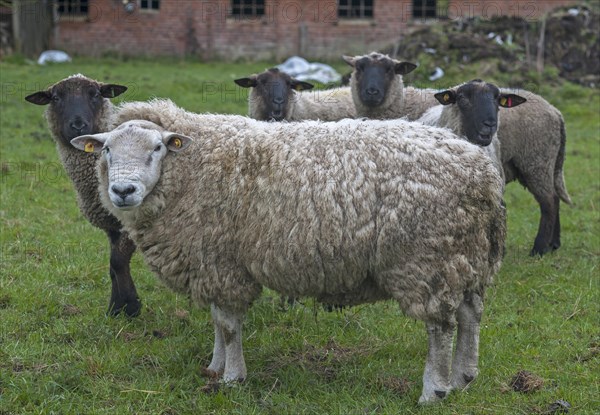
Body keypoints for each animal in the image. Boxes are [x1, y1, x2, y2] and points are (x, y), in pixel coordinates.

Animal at [24, 75, 142, 316]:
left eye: (95, 94)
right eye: (56, 97)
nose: (78, 125)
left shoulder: (130, 218)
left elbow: (117, 261)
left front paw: (131, 306)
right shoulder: (112, 224)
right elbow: (113, 266)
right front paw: (115, 309)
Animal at [71, 99, 506, 404]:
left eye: (158, 148)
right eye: (106, 150)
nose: (122, 190)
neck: (192, 167)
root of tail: (482, 173)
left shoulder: (223, 263)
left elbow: (229, 326)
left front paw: (232, 378)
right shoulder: (214, 263)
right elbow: (217, 322)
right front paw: (214, 367)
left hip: (428, 258)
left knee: (440, 326)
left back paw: (434, 390)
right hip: (465, 254)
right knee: (471, 313)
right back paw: (464, 378)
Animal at [350, 50, 576, 255]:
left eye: (389, 69)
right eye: (359, 68)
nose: (490, 124)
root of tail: (556, 112)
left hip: (536, 160)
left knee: (549, 201)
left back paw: (539, 249)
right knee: (555, 197)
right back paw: (553, 244)